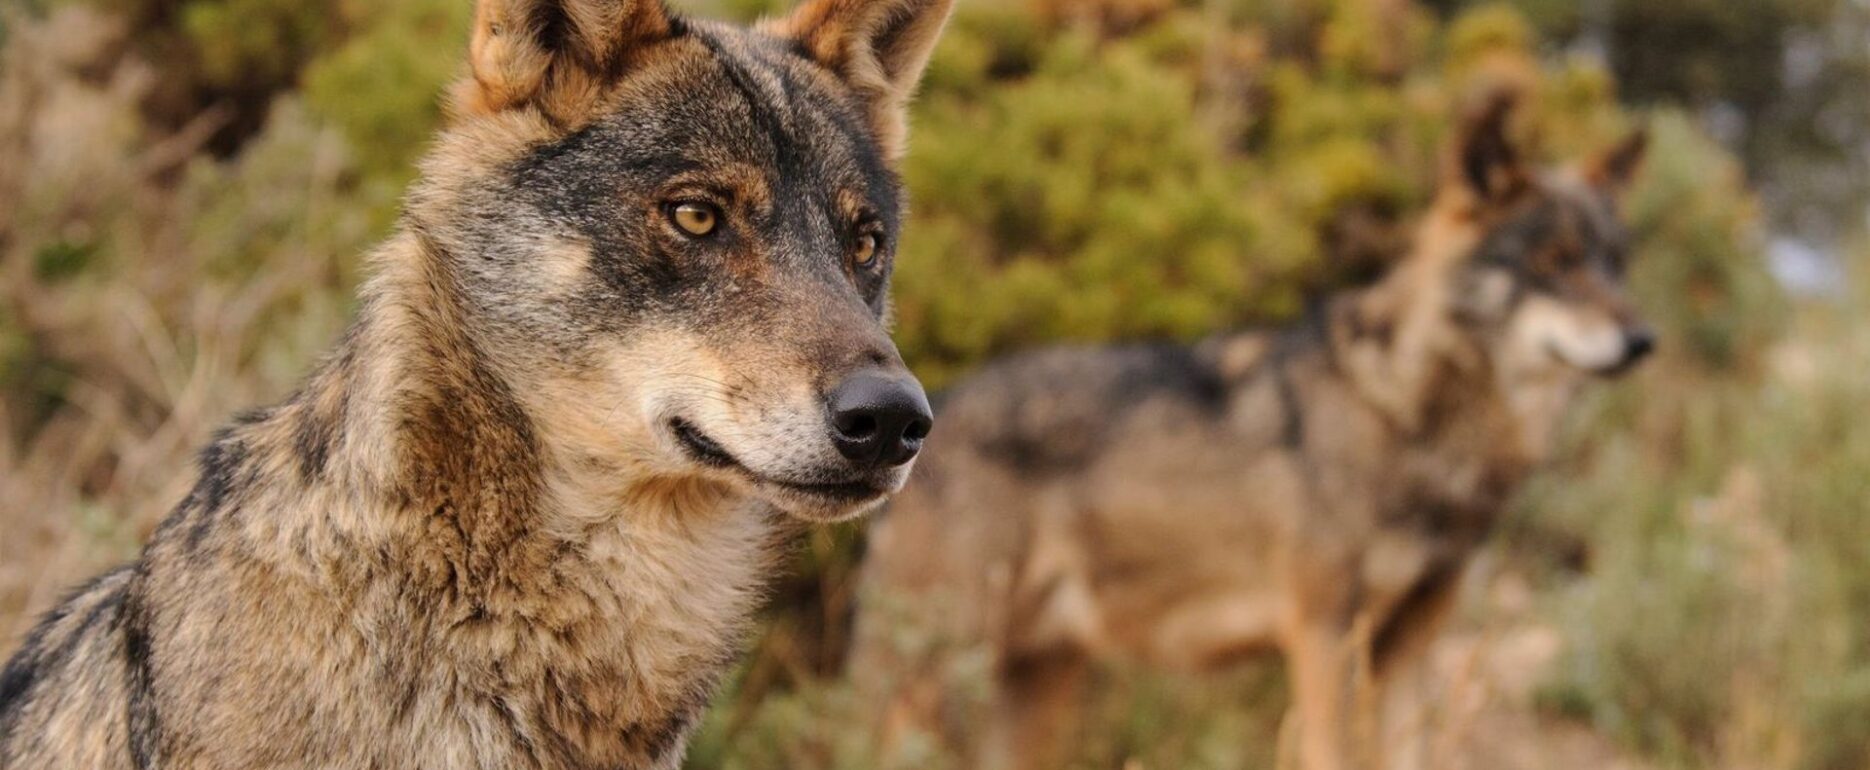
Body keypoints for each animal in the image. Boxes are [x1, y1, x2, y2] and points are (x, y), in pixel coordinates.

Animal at [848, 96, 1653, 770]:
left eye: (1615, 264)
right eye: (1554, 263)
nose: (1644, 340)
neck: (1405, 411)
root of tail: (931, 412)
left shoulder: (1412, 646)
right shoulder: (1325, 636)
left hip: (1034, 686)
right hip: (933, 676)